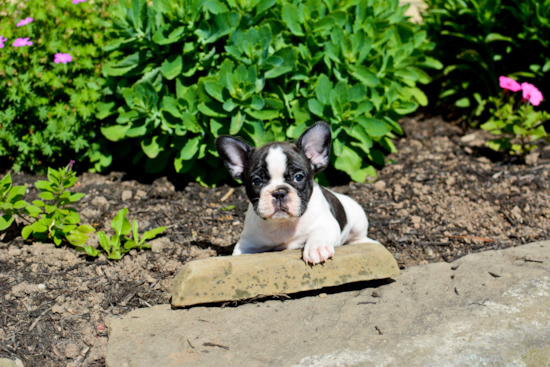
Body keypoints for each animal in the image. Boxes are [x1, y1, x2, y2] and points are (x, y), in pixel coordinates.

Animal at [216, 121, 380, 264]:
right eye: (257, 181)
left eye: (299, 177)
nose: (279, 192)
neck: (284, 224)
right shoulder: (247, 242)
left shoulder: (327, 223)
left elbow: (319, 233)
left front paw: (317, 248)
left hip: (358, 220)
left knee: (358, 237)